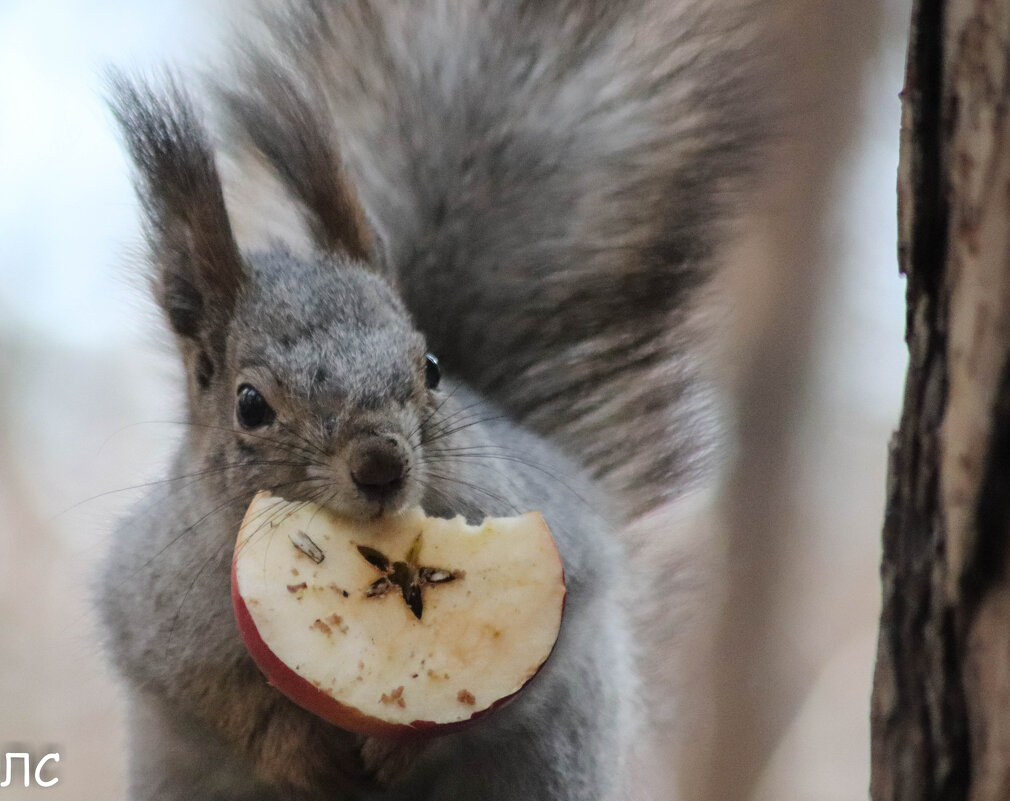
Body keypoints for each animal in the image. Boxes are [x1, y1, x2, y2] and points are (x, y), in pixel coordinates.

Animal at [98, 3, 759, 795]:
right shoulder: (152, 606)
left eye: (432, 367)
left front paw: (405, 748)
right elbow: (218, 699)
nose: (381, 465)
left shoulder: (567, 546)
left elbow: (536, 667)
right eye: (250, 404)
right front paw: (297, 752)